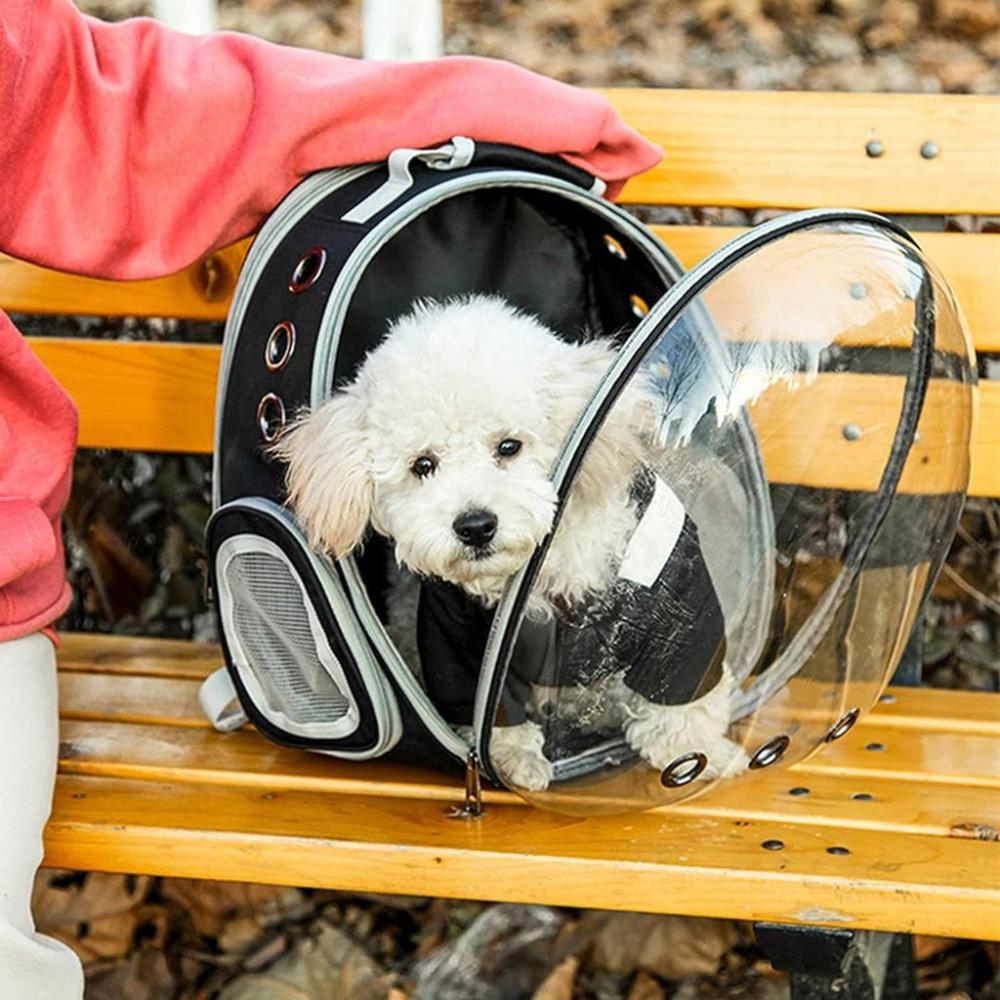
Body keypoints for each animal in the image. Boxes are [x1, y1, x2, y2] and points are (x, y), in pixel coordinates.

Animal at [272, 296, 744, 788]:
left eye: (509, 446)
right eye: (423, 465)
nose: (475, 525)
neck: (548, 569)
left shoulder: (681, 607)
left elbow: (684, 691)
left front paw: (700, 754)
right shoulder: (455, 636)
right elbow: (489, 707)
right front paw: (514, 759)